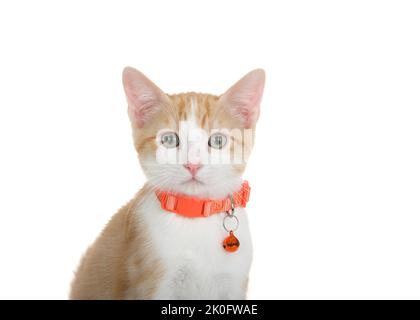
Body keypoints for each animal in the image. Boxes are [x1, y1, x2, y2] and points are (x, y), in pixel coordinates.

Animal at [70, 66, 264, 298]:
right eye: (169, 140)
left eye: (218, 141)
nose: (193, 165)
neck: (194, 217)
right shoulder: (151, 280)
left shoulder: (234, 282)